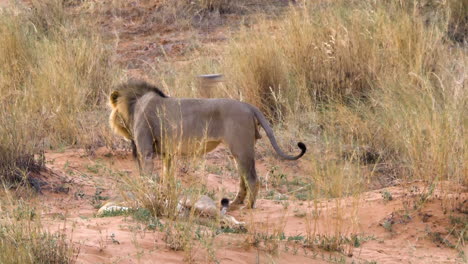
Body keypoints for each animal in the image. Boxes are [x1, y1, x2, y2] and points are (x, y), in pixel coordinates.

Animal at [109, 81, 308, 209]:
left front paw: (148, 195)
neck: (134, 105)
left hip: (241, 147)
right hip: (239, 151)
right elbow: (167, 177)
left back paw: (249, 207)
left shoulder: (146, 151)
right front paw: (165, 196)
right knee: (243, 177)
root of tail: (249, 106)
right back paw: (235, 203)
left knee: (252, 178)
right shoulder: (168, 154)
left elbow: (147, 176)